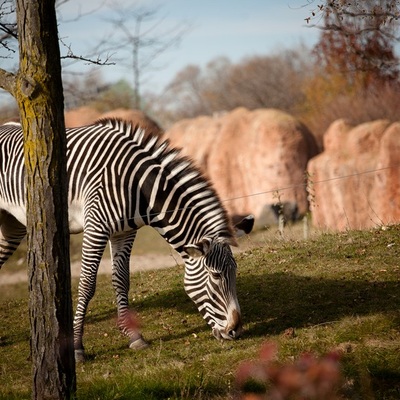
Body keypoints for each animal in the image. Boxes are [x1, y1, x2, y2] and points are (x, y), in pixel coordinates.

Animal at [0, 119, 253, 362]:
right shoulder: (96, 227)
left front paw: (133, 336)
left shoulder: (124, 232)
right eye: (216, 276)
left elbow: (121, 280)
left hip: (13, 226)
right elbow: (87, 284)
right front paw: (77, 347)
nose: (235, 331)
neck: (138, 187)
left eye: (235, 271)